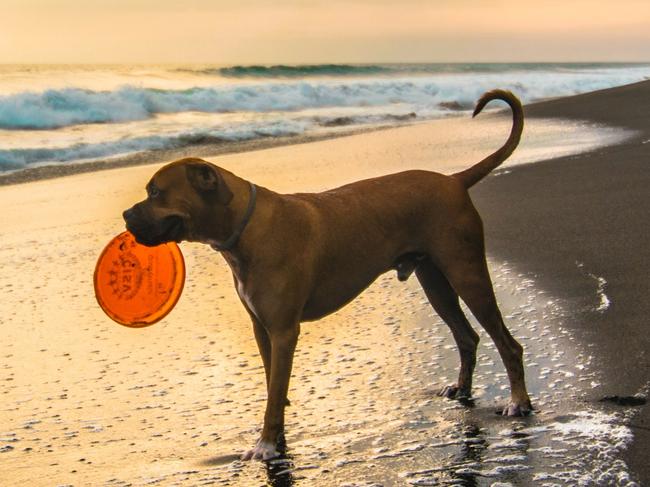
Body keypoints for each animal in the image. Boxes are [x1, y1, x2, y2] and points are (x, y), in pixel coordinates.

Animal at [123, 88, 532, 462]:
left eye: (156, 192)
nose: (126, 216)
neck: (246, 227)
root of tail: (454, 180)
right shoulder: (262, 330)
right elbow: (274, 387)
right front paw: (277, 437)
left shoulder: (284, 331)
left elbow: (275, 393)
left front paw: (266, 445)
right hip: (435, 281)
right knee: (467, 336)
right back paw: (462, 389)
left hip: (467, 273)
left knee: (507, 343)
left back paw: (518, 403)